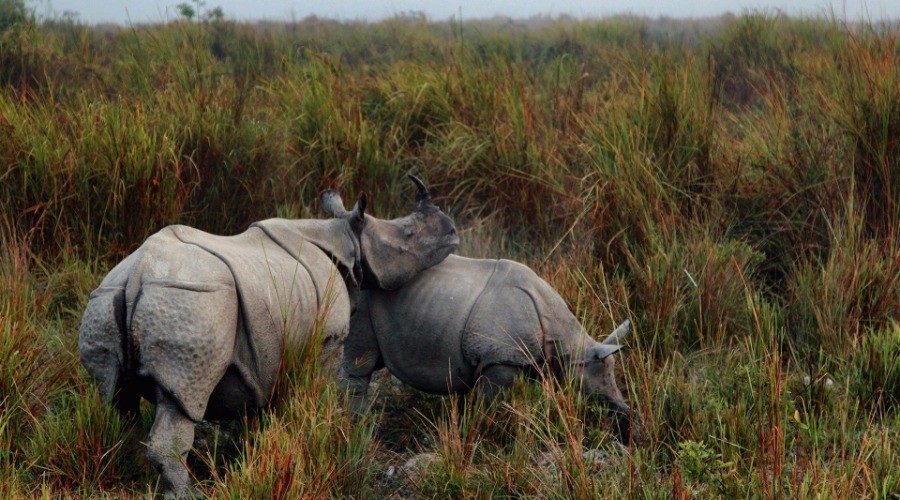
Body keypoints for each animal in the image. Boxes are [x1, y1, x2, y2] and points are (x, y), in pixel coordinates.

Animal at [78, 176, 458, 497]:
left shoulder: (270, 348)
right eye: (408, 234)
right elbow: (322, 388)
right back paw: (190, 494)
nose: (453, 232)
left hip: (108, 298)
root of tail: (139, 272)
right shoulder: (329, 337)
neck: (345, 237)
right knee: (181, 399)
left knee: (115, 396)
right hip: (193, 300)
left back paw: (130, 469)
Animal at [340, 254, 635, 442]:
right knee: (361, 361)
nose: (625, 414)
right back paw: (360, 427)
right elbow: (488, 405)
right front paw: (481, 431)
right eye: (601, 385)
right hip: (363, 295)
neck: (568, 341)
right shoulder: (498, 359)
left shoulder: (525, 358)